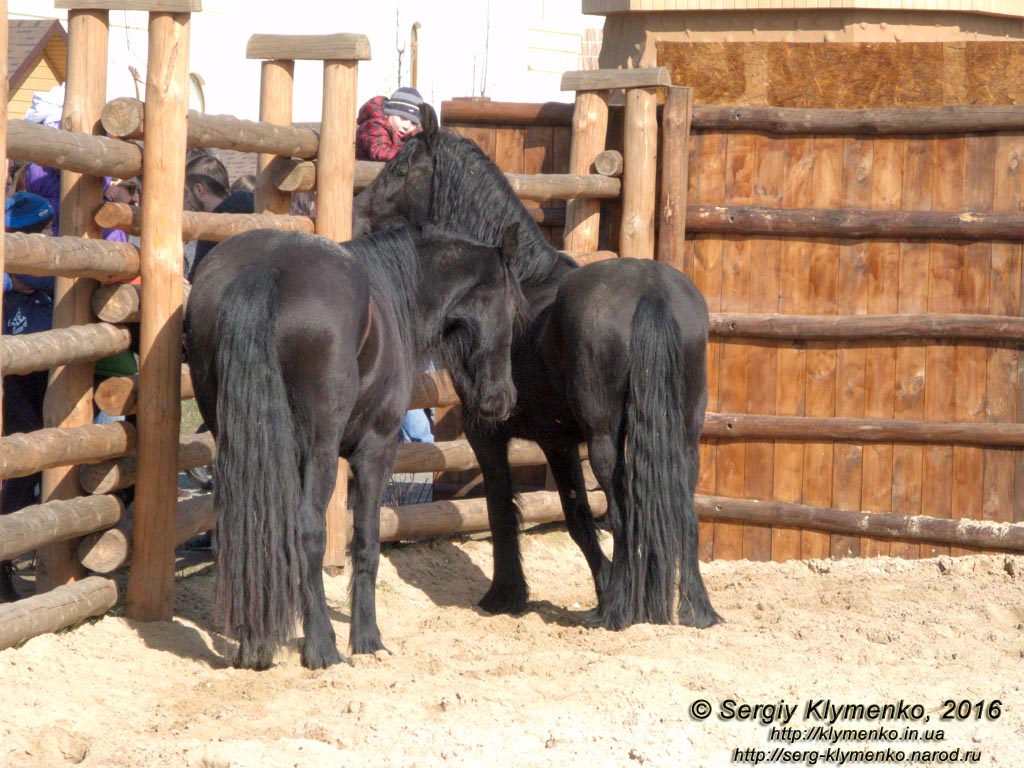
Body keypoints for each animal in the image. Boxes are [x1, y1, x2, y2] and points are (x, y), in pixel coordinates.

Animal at [184, 222, 524, 667]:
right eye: (513, 310)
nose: (502, 400)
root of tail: (264, 270)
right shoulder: (375, 452)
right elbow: (366, 542)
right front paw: (367, 638)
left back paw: (254, 647)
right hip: (320, 450)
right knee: (306, 531)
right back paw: (322, 646)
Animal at [352, 103, 720, 630]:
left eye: (402, 169)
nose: (358, 215)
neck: (521, 278)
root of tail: (650, 291)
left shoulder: (492, 432)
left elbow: (509, 512)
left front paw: (506, 595)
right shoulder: (558, 441)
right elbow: (577, 517)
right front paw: (600, 590)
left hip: (605, 438)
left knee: (623, 512)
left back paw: (620, 612)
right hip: (685, 432)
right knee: (681, 510)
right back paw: (692, 608)